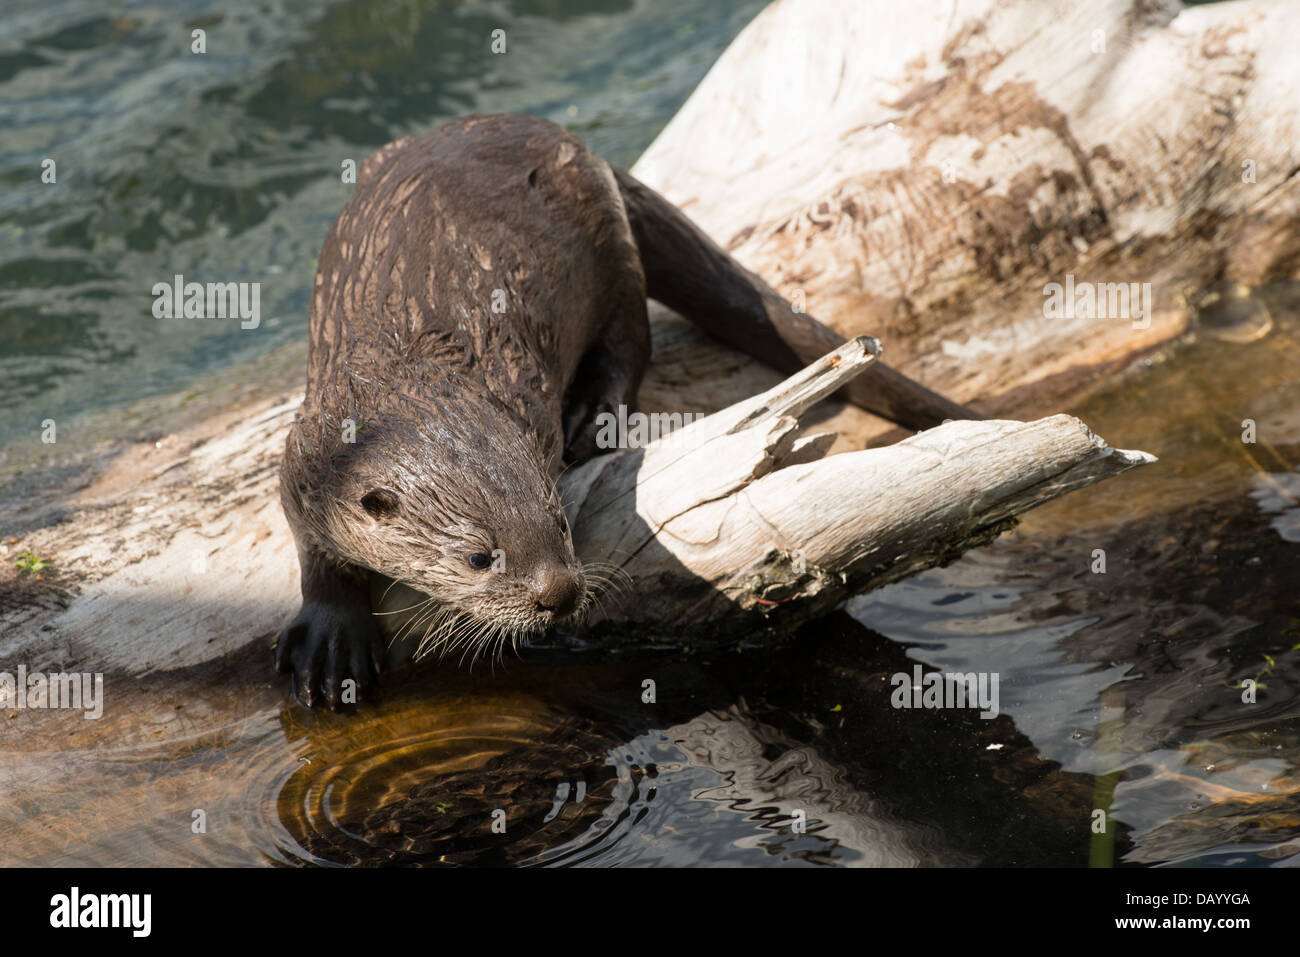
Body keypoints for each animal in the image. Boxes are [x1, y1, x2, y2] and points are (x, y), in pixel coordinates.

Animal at [276, 113, 977, 712]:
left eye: (561, 526)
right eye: (479, 558)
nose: (558, 594)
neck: (403, 368)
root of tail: (565, 138)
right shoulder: (307, 453)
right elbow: (312, 545)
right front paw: (332, 638)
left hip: (609, 243)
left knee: (630, 339)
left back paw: (593, 418)